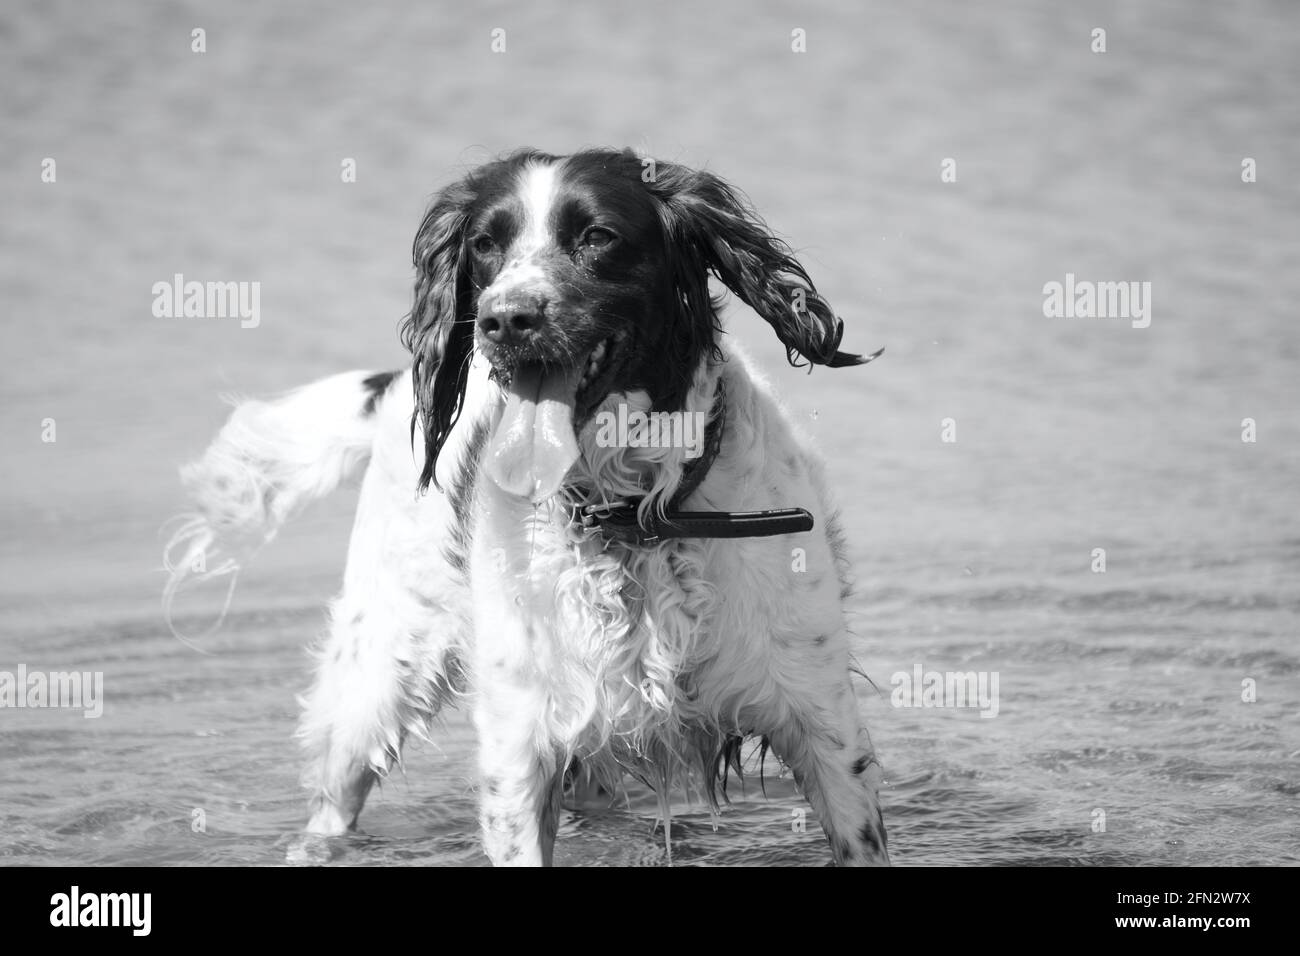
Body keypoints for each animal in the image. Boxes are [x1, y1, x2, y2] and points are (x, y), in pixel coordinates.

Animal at [162, 147, 889, 868]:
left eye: (597, 236)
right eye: (485, 244)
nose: (505, 319)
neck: (628, 515)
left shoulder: (821, 719)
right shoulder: (520, 746)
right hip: (375, 679)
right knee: (332, 805)